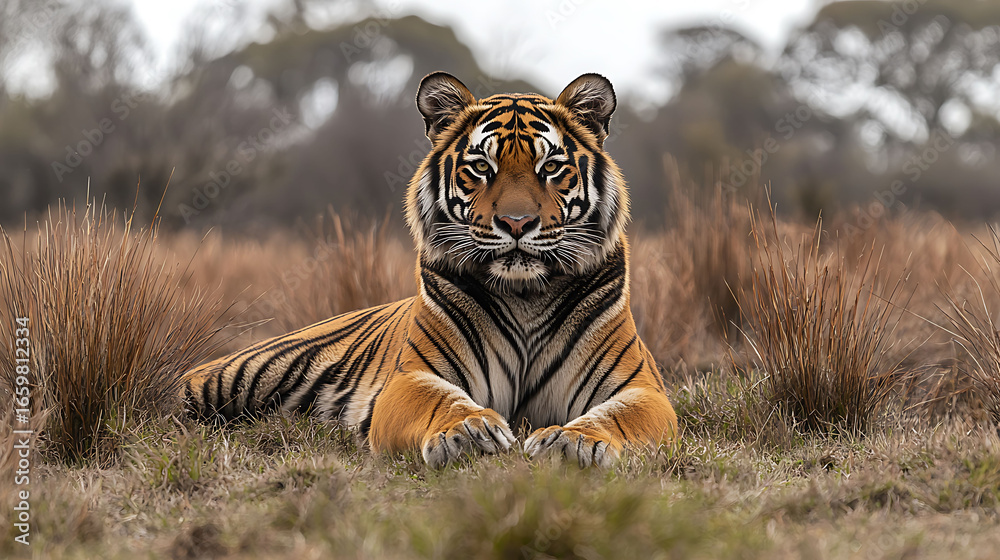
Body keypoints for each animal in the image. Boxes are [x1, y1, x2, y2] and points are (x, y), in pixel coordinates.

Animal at [181, 72, 678, 468]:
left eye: (551, 167)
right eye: (481, 167)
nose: (517, 223)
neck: (524, 294)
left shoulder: (641, 388)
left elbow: (615, 415)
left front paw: (570, 442)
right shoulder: (412, 377)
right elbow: (443, 401)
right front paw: (468, 432)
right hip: (230, 377)